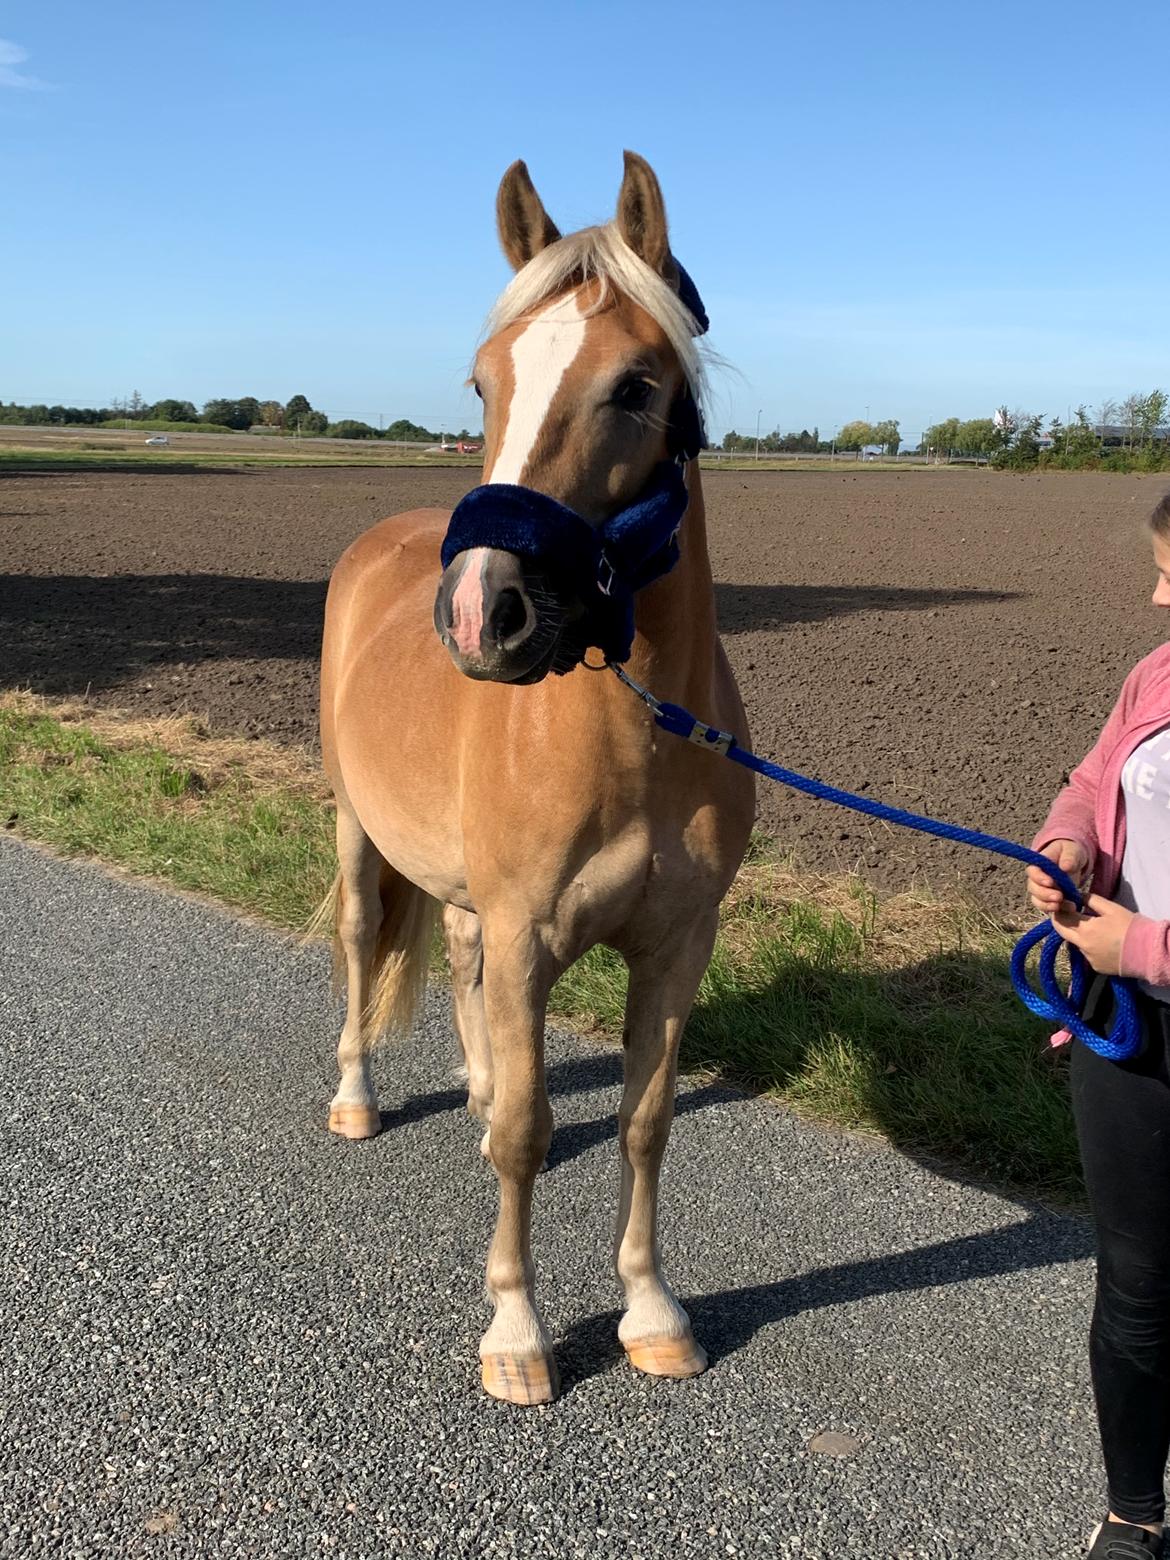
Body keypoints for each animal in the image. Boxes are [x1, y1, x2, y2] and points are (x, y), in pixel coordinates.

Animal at [316, 152, 755, 1410]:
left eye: (635, 386)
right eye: (482, 384)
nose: (481, 612)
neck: (634, 738)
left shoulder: (677, 944)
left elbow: (647, 1123)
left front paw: (651, 1311)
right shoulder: (528, 936)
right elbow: (526, 1128)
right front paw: (515, 1331)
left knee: (460, 966)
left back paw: (463, 1087)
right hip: (356, 834)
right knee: (363, 945)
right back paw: (359, 1099)